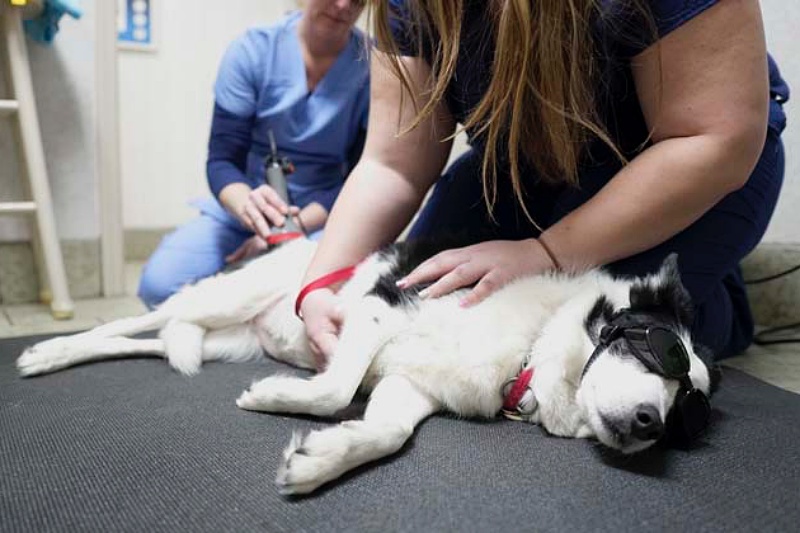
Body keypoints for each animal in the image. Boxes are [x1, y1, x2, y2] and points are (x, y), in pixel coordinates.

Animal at [17, 237, 720, 494]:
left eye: (687, 414)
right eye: (660, 348)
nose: (651, 422)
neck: (529, 347)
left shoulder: (411, 388)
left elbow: (384, 433)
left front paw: (319, 460)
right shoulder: (378, 313)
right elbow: (335, 391)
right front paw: (276, 399)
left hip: (222, 337)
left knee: (155, 342)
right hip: (224, 296)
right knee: (130, 324)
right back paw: (48, 351)